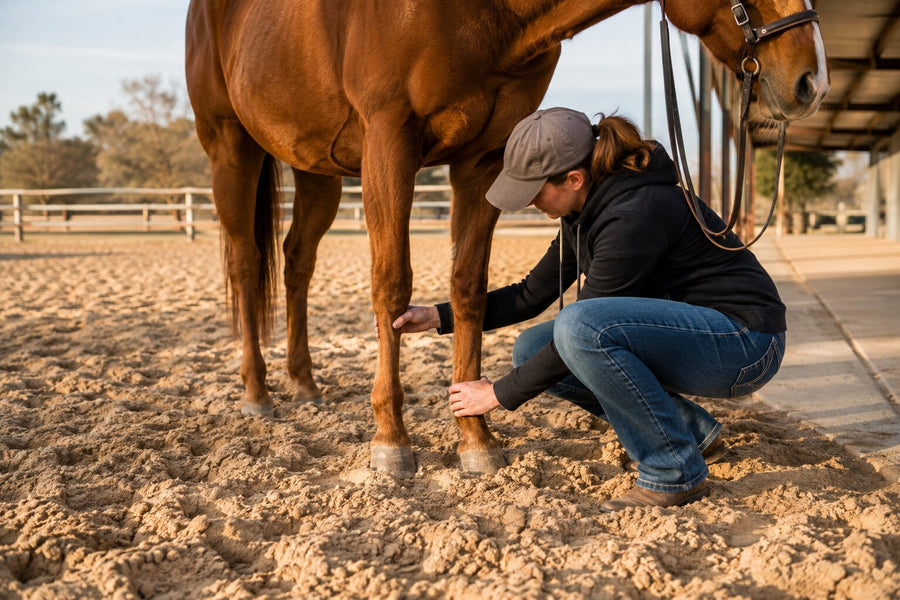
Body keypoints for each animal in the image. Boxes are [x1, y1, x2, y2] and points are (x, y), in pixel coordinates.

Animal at [185, 0, 828, 478]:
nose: (811, 79)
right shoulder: (388, 141)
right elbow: (391, 286)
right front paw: (392, 443)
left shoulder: (484, 160)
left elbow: (469, 289)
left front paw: (476, 439)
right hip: (230, 147)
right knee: (246, 264)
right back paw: (257, 393)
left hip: (316, 168)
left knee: (296, 262)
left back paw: (304, 383)